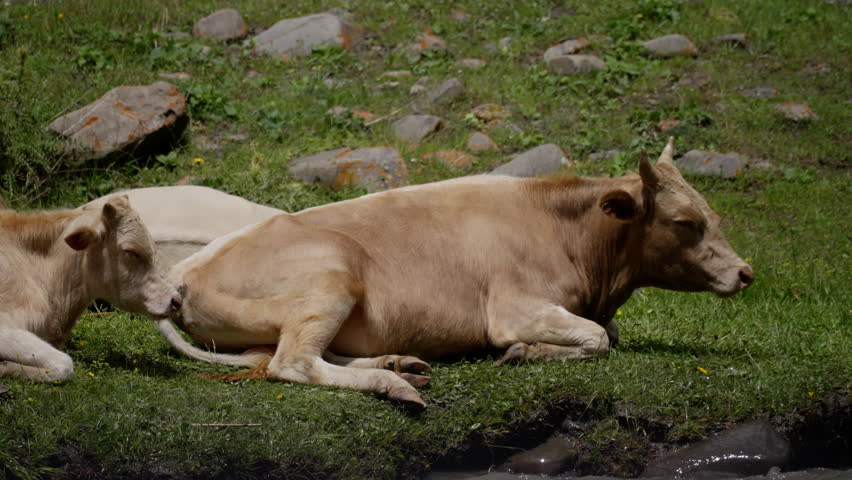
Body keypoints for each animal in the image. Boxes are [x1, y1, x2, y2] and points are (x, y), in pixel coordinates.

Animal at [157, 139, 753, 407]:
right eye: (684, 222)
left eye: (713, 214)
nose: (746, 272)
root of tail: (184, 273)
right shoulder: (513, 310)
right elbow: (597, 338)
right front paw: (525, 353)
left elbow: (609, 332)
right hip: (332, 276)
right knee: (292, 363)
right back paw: (393, 382)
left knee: (303, 353)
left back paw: (398, 362)